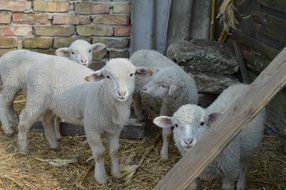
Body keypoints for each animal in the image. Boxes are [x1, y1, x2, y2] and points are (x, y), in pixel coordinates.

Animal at [15, 53, 151, 184]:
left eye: (131, 74)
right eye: (107, 76)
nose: (122, 93)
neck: (102, 96)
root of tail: (38, 64)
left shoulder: (115, 129)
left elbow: (114, 151)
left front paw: (116, 173)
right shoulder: (92, 127)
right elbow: (99, 153)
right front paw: (101, 178)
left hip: (50, 104)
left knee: (47, 120)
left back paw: (53, 144)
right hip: (36, 97)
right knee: (24, 121)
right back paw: (23, 148)